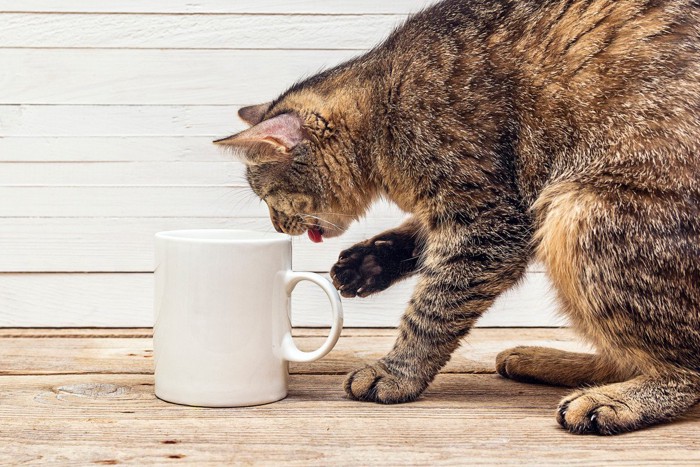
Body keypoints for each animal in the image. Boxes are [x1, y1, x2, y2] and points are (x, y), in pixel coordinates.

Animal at [213, 0, 700, 436]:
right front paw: (368, 263)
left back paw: (615, 399)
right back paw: (550, 361)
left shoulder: (491, 221)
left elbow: (433, 305)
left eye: (266, 196)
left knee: (685, 367)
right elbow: (420, 239)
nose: (277, 226)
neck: (384, 105)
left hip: (578, 213)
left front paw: (396, 372)